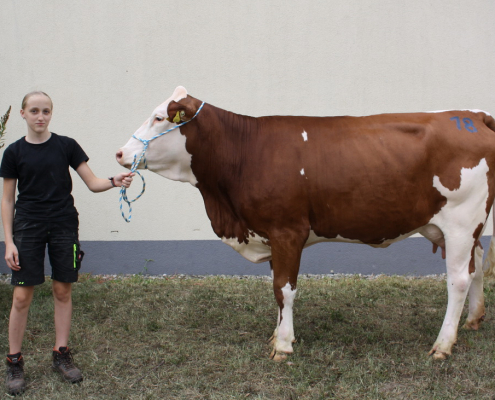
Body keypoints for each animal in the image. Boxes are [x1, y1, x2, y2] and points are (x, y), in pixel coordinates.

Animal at [114, 86, 495, 360]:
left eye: (160, 118)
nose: (120, 153)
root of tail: (471, 115)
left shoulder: (287, 231)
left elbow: (283, 288)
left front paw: (283, 346)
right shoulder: (270, 233)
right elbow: (277, 289)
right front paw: (278, 334)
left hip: (461, 221)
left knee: (458, 279)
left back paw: (442, 346)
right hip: (456, 226)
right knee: (477, 263)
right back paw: (474, 320)